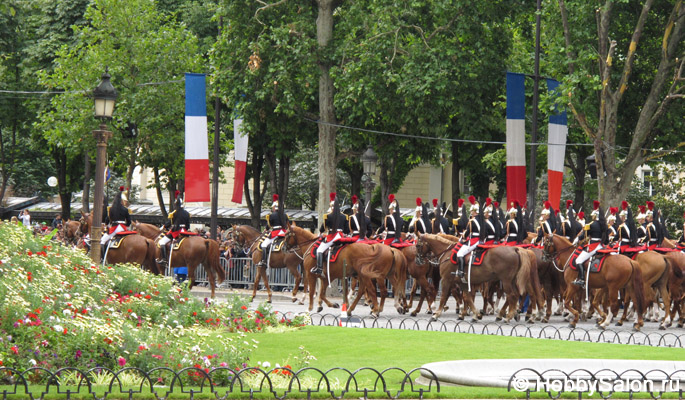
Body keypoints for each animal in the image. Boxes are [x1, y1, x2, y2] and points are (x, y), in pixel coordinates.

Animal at [414, 233, 544, 324]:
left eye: (418, 245)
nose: (418, 260)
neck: (447, 252)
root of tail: (516, 249)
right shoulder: (463, 283)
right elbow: (467, 298)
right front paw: (476, 315)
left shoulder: (446, 280)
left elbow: (443, 297)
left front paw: (436, 314)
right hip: (512, 281)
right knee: (517, 295)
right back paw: (514, 314)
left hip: (506, 281)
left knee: (513, 295)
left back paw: (508, 316)